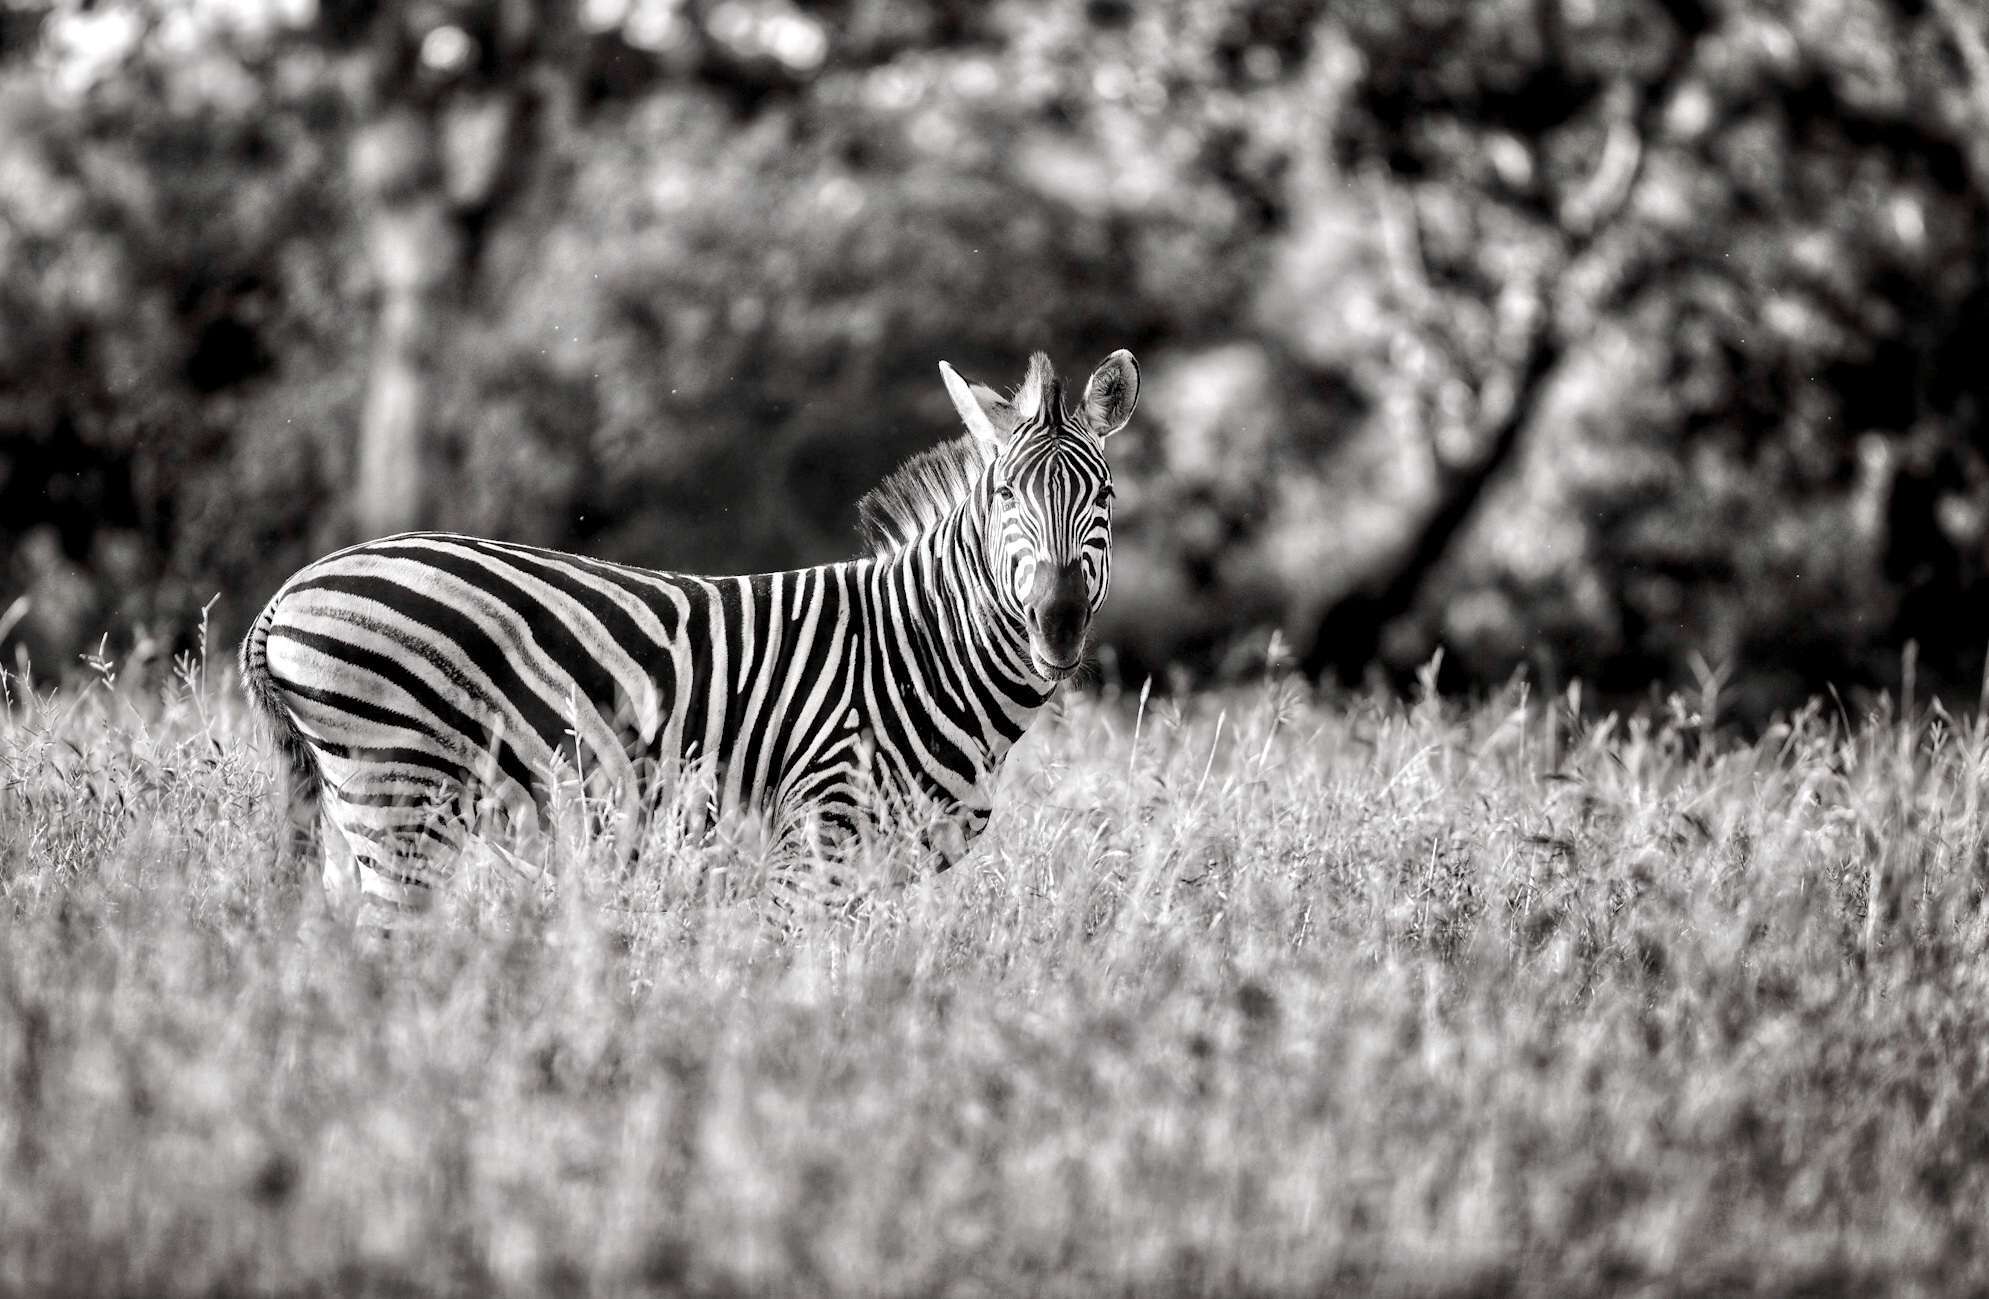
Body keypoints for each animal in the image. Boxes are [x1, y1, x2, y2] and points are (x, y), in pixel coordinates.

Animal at [239, 349, 1139, 927]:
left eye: (1104, 495)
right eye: (1004, 495)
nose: (1058, 622)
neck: (920, 650)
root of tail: (286, 594)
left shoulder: (875, 866)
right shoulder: (817, 838)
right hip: (400, 797)